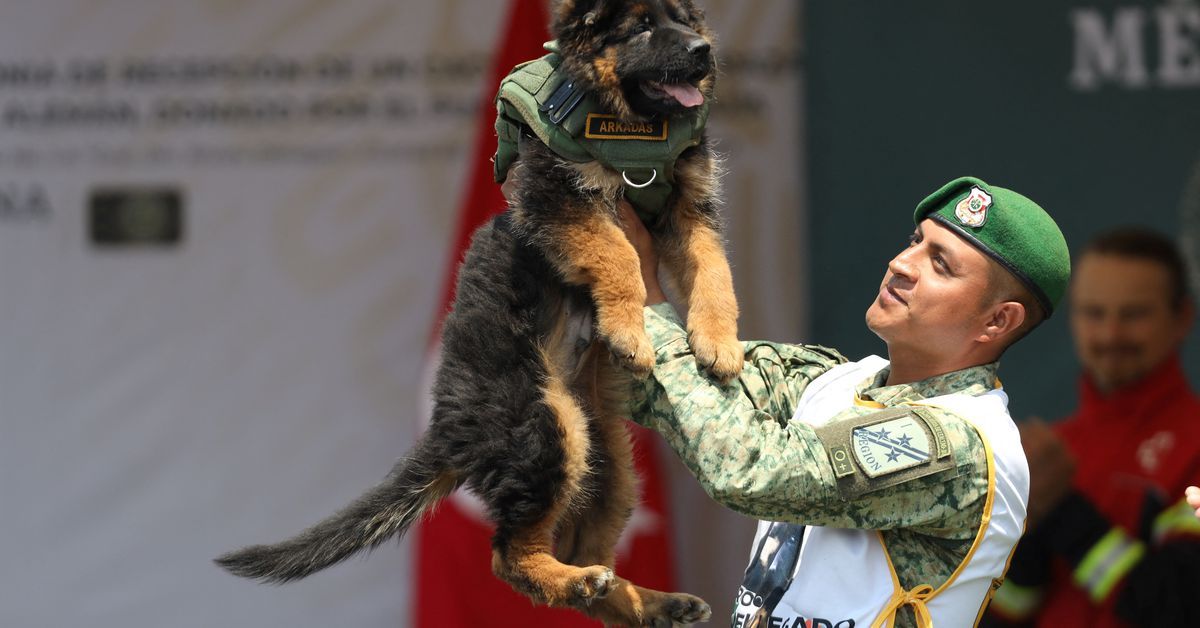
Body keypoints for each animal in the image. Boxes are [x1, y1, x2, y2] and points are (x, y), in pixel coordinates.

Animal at [218, 2, 739, 624]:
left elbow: (714, 273)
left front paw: (720, 343)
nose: (704, 53)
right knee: (508, 556)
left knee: (580, 549)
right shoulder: (556, 198)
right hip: (543, 428)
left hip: (606, 459)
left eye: (684, 21)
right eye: (640, 28)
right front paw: (629, 331)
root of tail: (448, 426)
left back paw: (647, 600)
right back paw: (580, 583)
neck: (631, 129)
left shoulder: (689, 207)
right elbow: (617, 253)